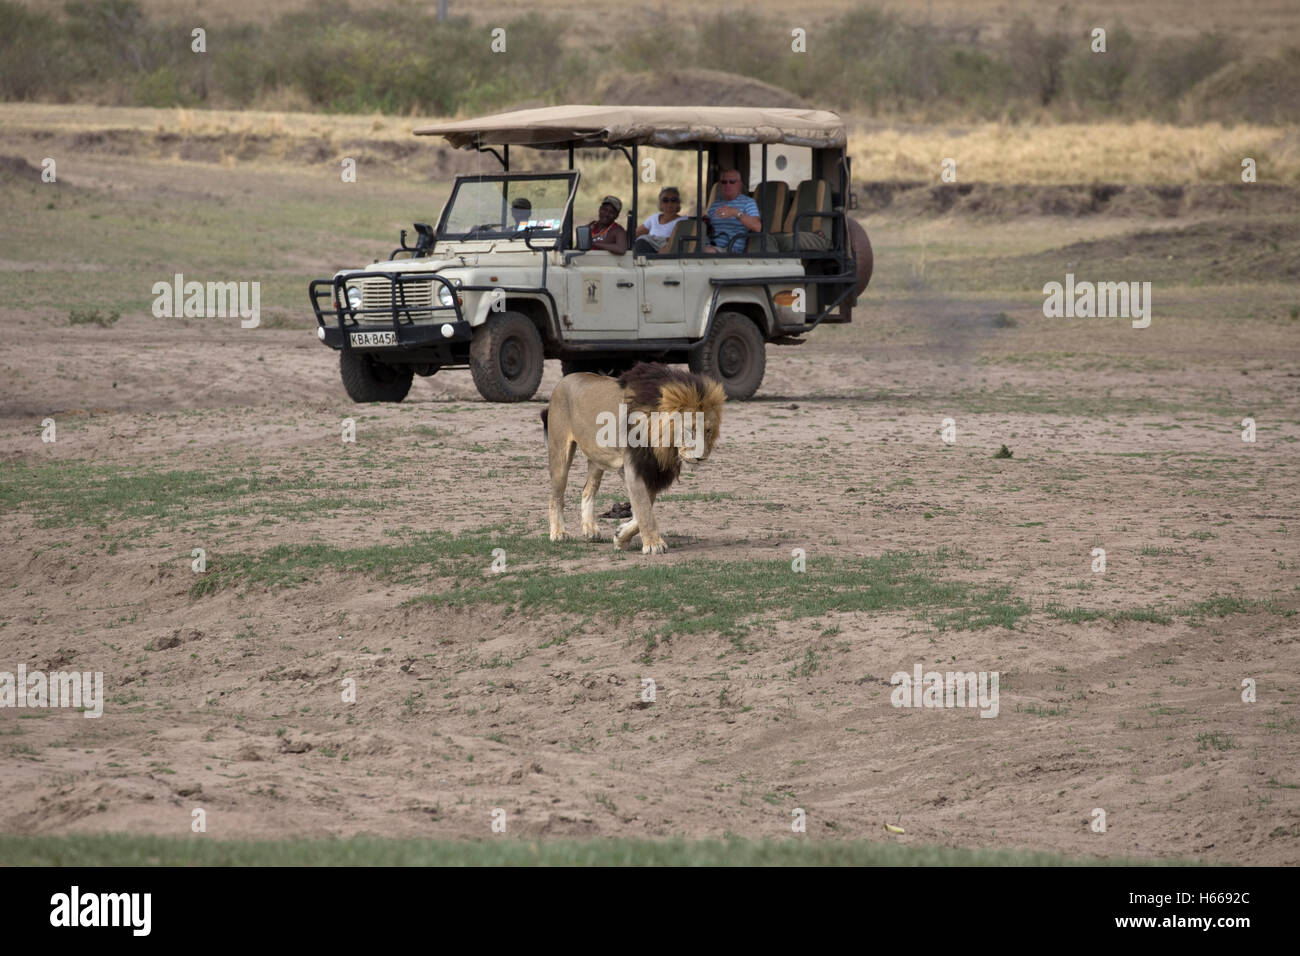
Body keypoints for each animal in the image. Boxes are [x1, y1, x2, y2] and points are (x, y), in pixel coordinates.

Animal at [538, 361, 722, 554]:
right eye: (688, 430)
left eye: (708, 431)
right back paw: (558, 533)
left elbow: (645, 505)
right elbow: (644, 508)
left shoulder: (651, 468)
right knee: (555, 495)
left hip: (597, 458)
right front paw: (654, 545)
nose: (701, 457)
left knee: (588, 490)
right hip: (560, 451)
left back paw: (590, 530)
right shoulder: (634, 466)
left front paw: (621, 536)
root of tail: (563, 381)